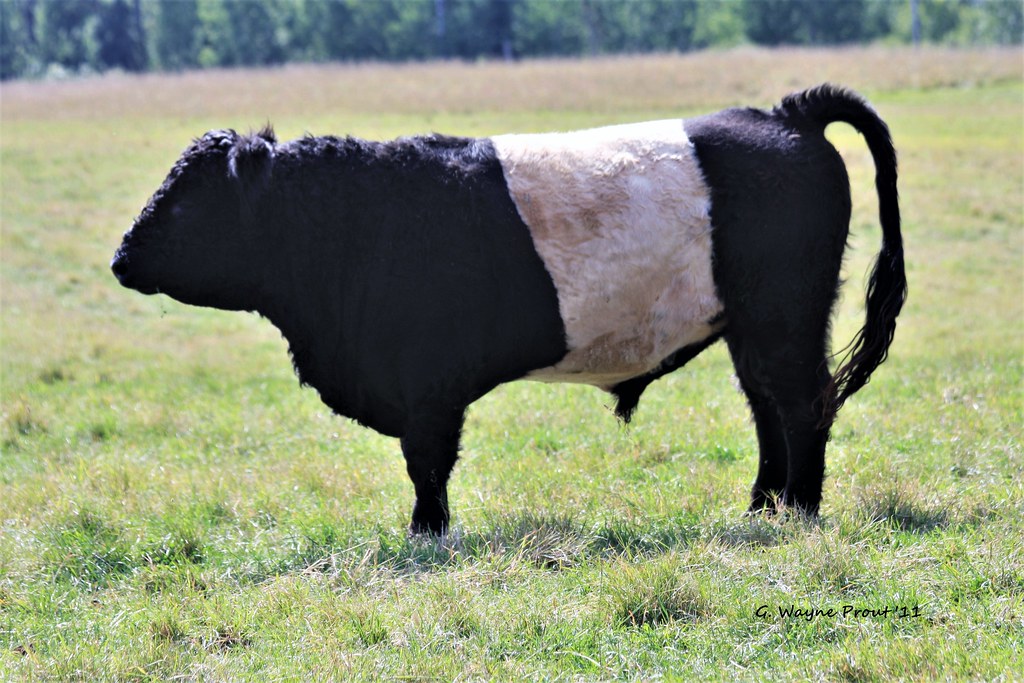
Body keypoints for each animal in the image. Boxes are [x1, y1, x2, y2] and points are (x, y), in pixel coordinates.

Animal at [111, 84, 906, 535]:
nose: (121, 257)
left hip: (785, 318)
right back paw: (760, 508)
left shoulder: (427, 385)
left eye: (189, 200)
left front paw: (427, 532)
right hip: (751, 328)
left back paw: (799, 510)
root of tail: (785, 115)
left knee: (802, 404)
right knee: (767, 407)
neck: (358, 215)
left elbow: (427, 463)